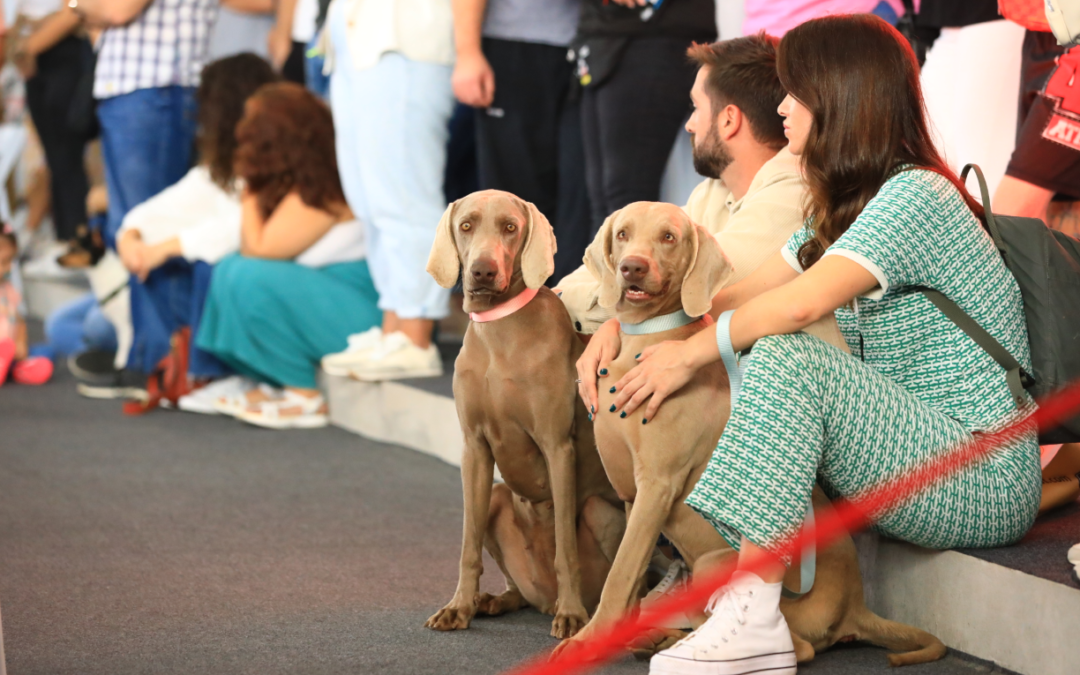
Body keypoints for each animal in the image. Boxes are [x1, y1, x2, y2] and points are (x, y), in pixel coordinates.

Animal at [421, 187, 626, 635]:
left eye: (510, 227)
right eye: (466, 225)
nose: (482, 271)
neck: (499, 330)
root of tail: (542, 600)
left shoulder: (557, 447)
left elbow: (565, 546)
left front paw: (572, 615)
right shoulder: (474, 450)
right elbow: (467, 544)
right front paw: (458, 606)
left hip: (600, 509)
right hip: (498, 498)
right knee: (515, 588)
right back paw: (491, 600)